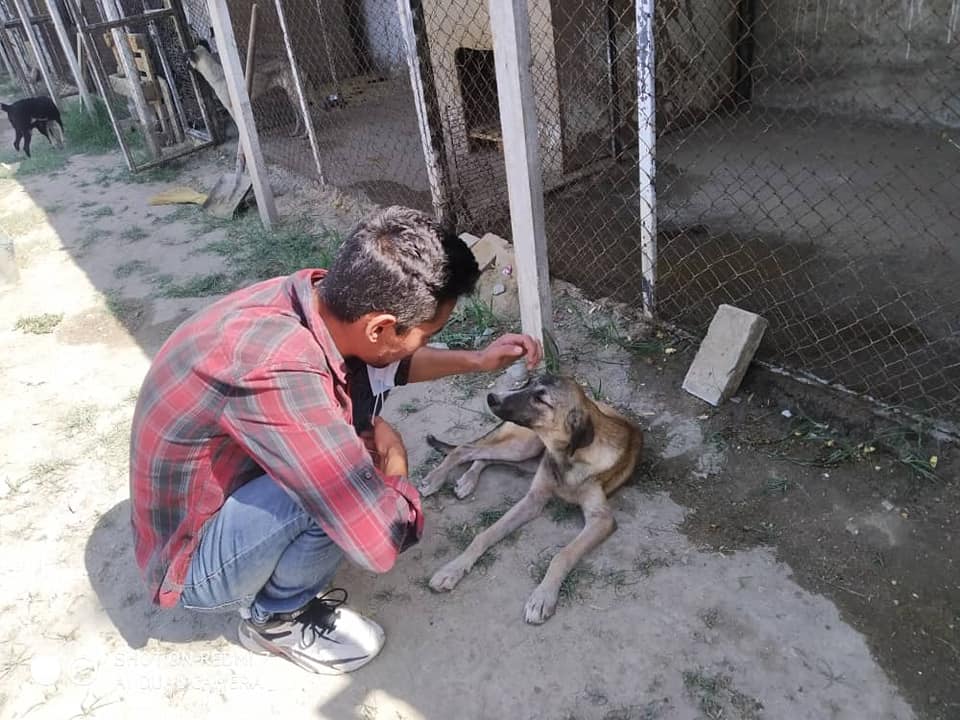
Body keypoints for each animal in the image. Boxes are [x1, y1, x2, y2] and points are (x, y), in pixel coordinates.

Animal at [419, 373, 644, 624]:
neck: (567, 457)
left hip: (526, 458)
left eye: (541, 399)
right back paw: (436, 479)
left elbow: (562, 555)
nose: (492, 397)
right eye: (528, 383)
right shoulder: (534, 498)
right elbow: (485, 534)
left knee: (481, 455)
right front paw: (452, 569)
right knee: (466, 449)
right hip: (524, 446)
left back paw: (466, 481)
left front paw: (542, 597)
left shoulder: (601, 520)